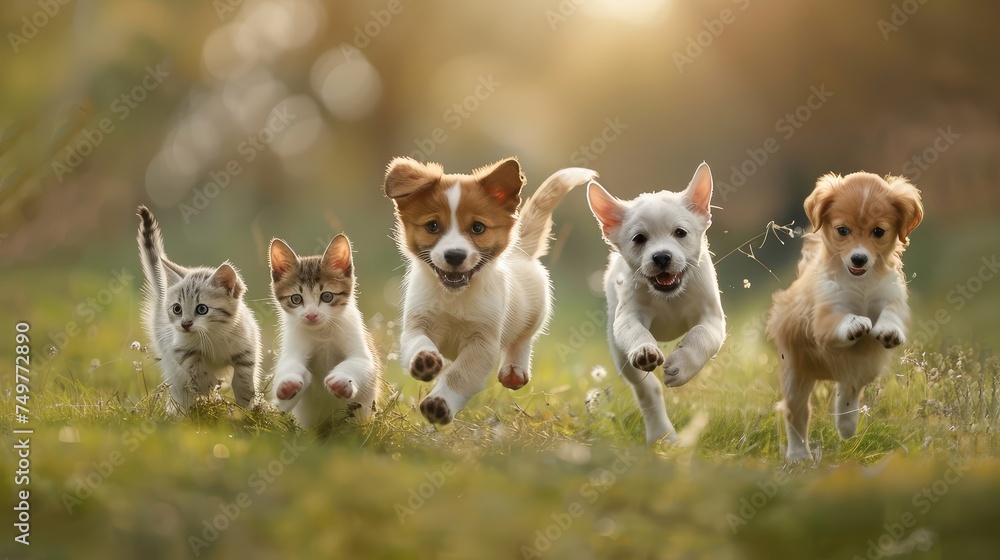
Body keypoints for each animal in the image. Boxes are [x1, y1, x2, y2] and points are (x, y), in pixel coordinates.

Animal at [136, 206, 262, 412]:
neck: (214, 334)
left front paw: (245, 401)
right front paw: (208, 387)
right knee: (180, 391)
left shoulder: (247, 346)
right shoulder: (179, 349)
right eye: (177, 309)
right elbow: (196, 369)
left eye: (202, 309)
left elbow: (244, 375)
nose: (185, 324)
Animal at [268, 234, 380, 426]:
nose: (311, 315)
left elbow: (359, 363)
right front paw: (288, 384)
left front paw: (342, 381)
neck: (322, 333)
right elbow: (289, 366)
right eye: (296, 299)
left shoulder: (361, 351)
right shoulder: (293, 348)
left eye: (327, 296)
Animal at [382, 155, 592, 422]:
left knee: (523, 338)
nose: (454, 255)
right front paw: (424, 361)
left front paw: (440, 402)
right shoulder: (418, 324)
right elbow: (418, 343)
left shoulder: (483, 344)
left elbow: (459, 375)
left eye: (478, 228)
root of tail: (521, 250)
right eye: (432, 226)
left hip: (535, 311)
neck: (455, 296)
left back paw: (514, 369)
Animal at [584, 163, 728, 446]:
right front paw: (644, 349)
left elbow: (700, 336)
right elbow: (637, 333)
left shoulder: (712, 318)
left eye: (680, 233)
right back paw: (662, 434)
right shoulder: (628, 317)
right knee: (647, 390)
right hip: (621, 357)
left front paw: (682, 366)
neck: (668, 297)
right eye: (639, 238)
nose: (661, 256)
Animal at [768, 173, 924, 462]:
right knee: (796, 414)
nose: (859, 259)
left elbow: (892, 311)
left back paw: (847, 424)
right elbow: (838, 321)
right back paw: (798, 455)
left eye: (878, 231)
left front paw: (889, 330)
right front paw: (853, 323)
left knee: (849, 389)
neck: (860, 282)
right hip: (795, 374)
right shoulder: (824, 315)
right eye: (842, 230)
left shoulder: (891, 295)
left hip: (865, 366)